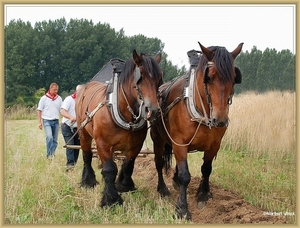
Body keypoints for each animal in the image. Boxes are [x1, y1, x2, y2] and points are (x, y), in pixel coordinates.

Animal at [76, 50, 163, 208]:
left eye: (159, 78)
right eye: (140, 77)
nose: (152, 110)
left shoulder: (135, 146)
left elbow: (128, 165)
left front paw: (124, 186)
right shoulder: (102, 144)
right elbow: (110, 169)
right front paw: (111, 199)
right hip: (84, 133)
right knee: (87, 156)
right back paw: (88, 181)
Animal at [150, 41, 244, 220]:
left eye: (234, 78)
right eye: (209, 77)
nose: (220, 120)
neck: (202, 112)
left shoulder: (214, 145)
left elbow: (206, 169)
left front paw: (203, 194)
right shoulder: (179, 143)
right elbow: (185, 175)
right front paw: (182, 208)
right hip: (157, 138)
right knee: (159, 163)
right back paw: (163, 189)